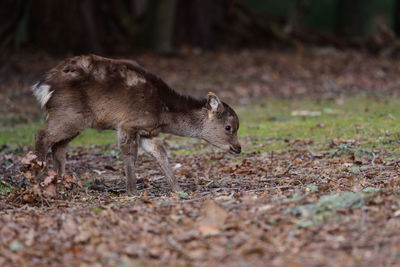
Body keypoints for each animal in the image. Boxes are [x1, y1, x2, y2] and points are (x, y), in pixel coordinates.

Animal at [32, 55, 241, 197]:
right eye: (229, 127)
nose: (238, 148)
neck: (162, 113)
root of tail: (42, 86)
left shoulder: (149, 132)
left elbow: (161, 155)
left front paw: (178, 189)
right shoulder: (128, 124)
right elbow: (130, 155)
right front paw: (131, 192)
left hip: (74, 119)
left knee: (59, 147)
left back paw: (61, 184)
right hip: (71, 114)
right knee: (42, 135)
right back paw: (37, 180)